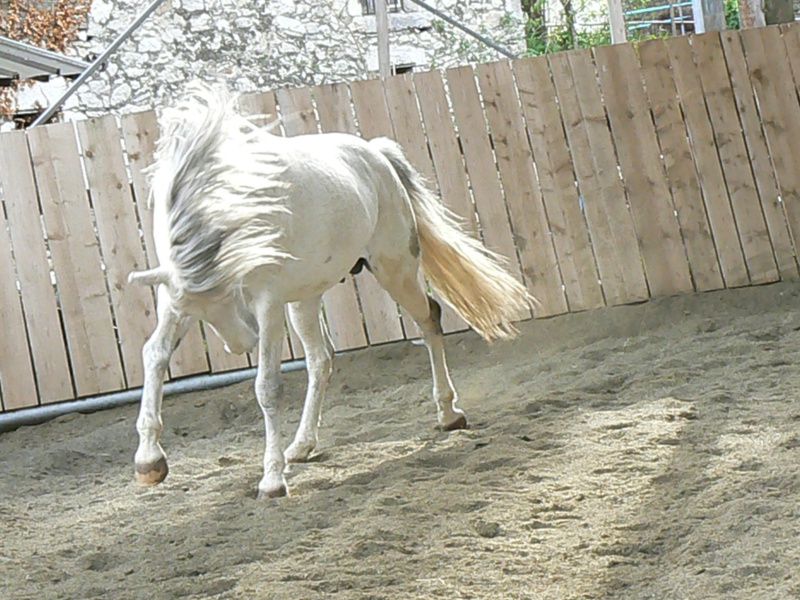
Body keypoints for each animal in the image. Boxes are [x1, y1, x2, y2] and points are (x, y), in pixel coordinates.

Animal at [130, 83, 532, 496]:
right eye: (201, 308)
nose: (241, 343)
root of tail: (377, 155)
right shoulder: (175, 299)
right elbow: (154, 355)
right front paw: (149, 462)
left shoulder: (267, 303)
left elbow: (267, 386)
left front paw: (271, 480)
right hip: (305, 300)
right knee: (321, 360)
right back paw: (301, 446)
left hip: (395, 271)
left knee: (430, 319)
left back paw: (449, 414)